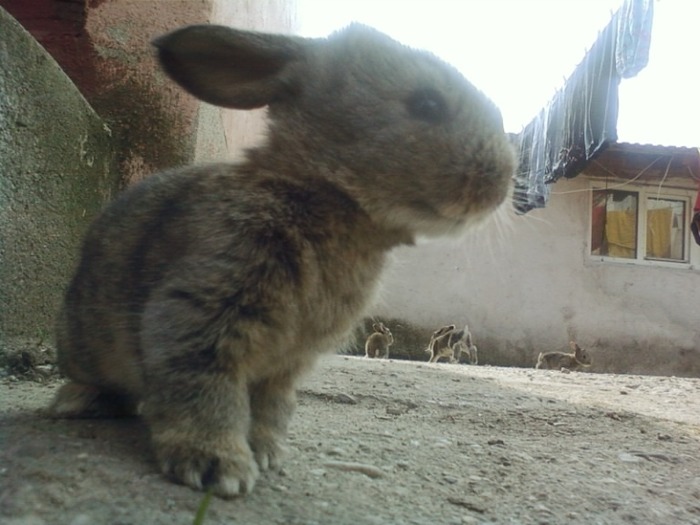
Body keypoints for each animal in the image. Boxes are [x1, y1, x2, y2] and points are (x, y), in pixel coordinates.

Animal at [49, 22, 516, 496]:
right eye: (427, 103)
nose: (502, 180)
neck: (327, 196)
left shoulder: (284, 365)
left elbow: (270, 404)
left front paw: (265, 452)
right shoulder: (202, 315)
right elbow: (205, 388)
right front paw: (217, 465)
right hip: (87, 344)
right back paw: (79, 402)